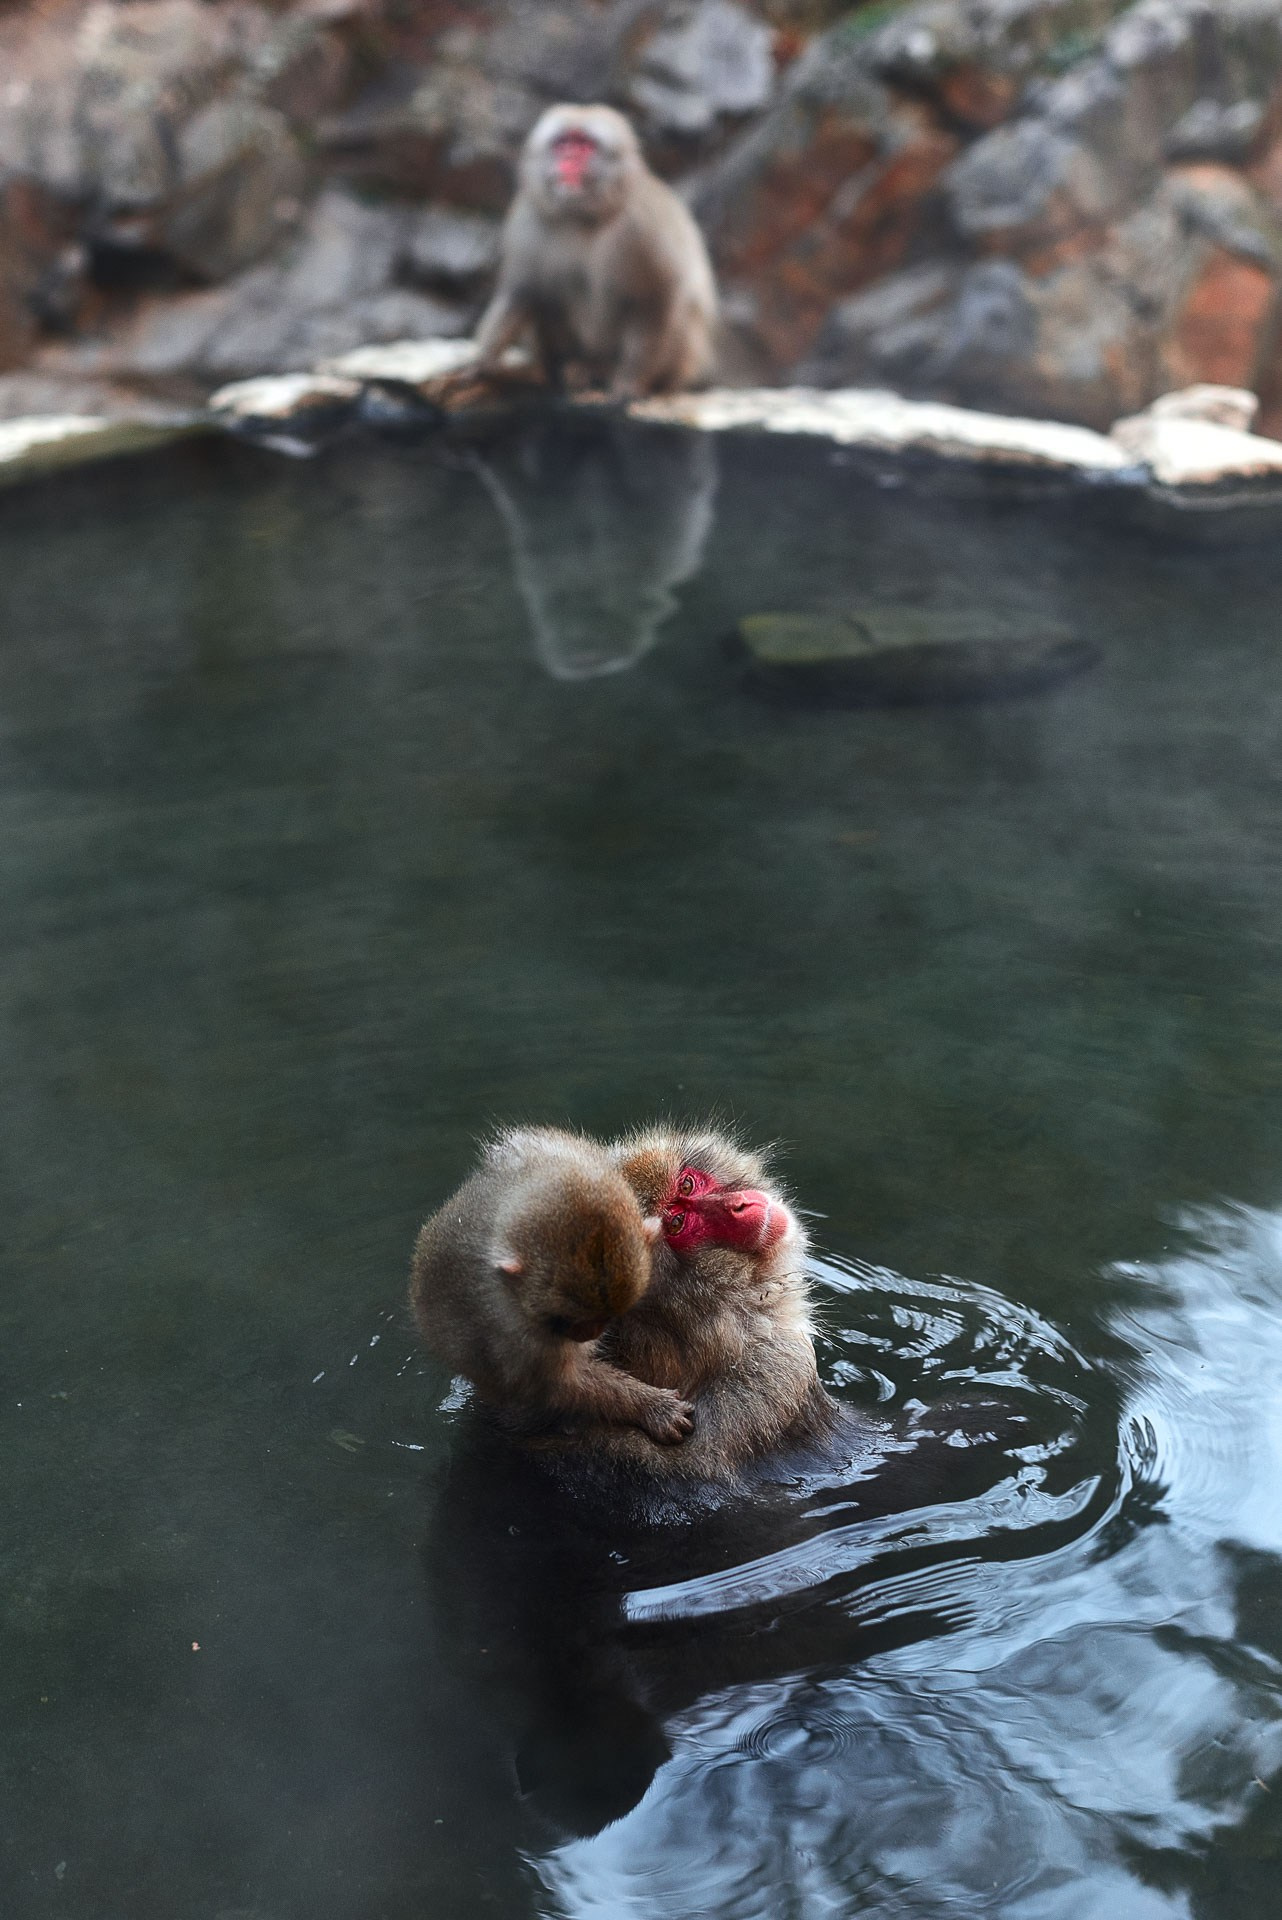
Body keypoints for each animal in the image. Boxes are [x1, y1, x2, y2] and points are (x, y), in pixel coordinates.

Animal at [408, 1127, 695, 1445]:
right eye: (565, 1319)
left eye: (607, 1317)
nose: (591, 1334)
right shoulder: (514, 1330)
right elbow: (561, 1386)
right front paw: (652, 1406)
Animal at [474, 104, 719, 401]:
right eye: (563, 143)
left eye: (584, 145)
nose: (569, 157)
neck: (583, 216)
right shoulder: (528, 222)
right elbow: (523, 292)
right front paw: (483, 360)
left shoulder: (644, 229)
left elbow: (656, 300)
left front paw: (629, 381)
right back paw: (571, 368)